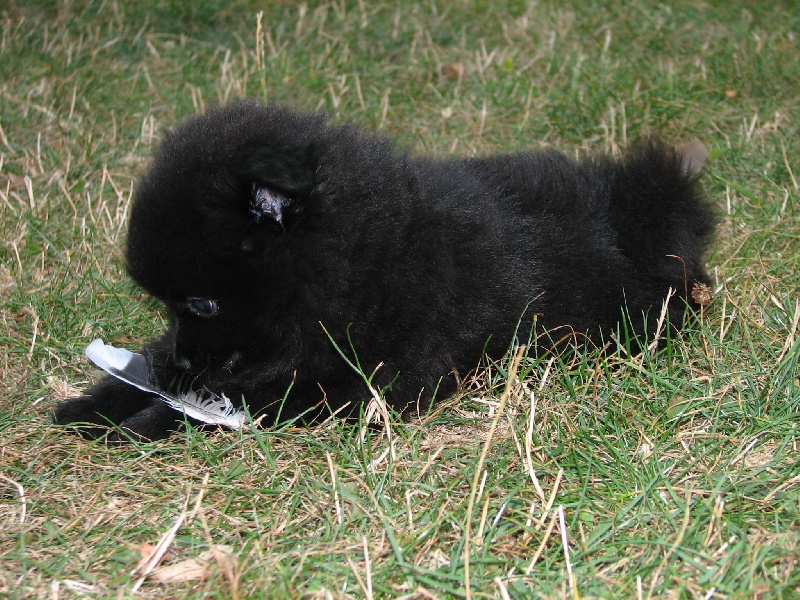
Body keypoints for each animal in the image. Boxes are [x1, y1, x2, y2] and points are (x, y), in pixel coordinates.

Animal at [57, 102, 720, 440]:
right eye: (170, 306)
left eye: (202, 303)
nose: (185, 362)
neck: (365, 256)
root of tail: (624, 212)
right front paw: (105, 396)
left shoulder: (357, 379)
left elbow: (249, 392)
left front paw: (148, 415)